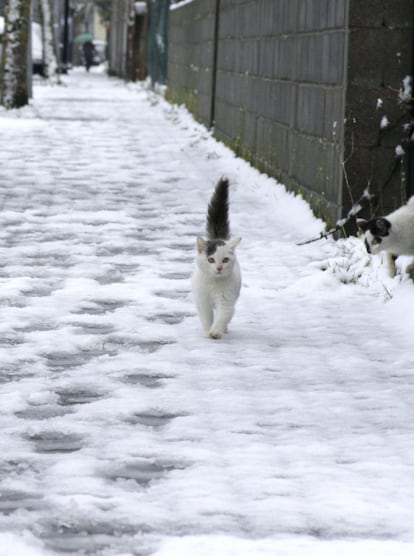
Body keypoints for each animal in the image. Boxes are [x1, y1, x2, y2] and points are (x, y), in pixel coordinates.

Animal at [192, 177, 241, 338]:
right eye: (211, 260)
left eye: (225, 260)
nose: (219, 268)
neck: (214, 283)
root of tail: (219, 237)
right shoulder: (202, 301)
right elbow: (207, 317)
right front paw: (208, 330)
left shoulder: (226, 301)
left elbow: (222, 316)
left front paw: (215, 332)